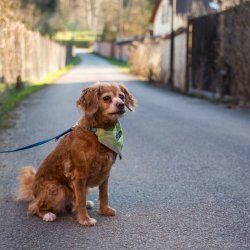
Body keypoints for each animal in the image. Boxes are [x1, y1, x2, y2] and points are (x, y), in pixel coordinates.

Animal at [17, 82, 136, 227]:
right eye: (106, 98)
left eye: (122, 96)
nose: (121, 104)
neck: (97, 131)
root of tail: (34, 191)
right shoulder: (79, 175)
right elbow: (81, 201)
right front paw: (85, 219)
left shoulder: (105, 173)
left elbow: (104, 195)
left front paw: (105, 211)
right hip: (57, 189)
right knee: (34, 207)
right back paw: (47, 214)